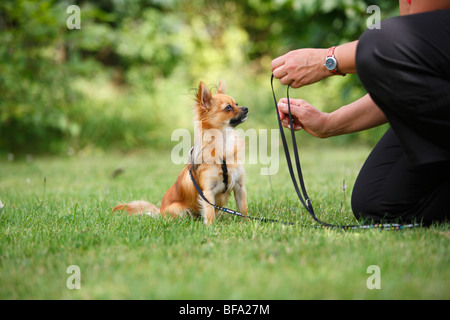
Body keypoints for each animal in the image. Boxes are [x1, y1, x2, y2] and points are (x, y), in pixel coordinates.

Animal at [111, 80, 246, 225]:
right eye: (228, 107)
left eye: (237, 103)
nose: (246, 108)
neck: (224, 141)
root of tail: (160, 211)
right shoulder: (207, 192)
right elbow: (209, 212)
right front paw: (210, 226)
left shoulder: (239, 186)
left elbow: (243, 209)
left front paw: (247, 223)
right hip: (179, 210)